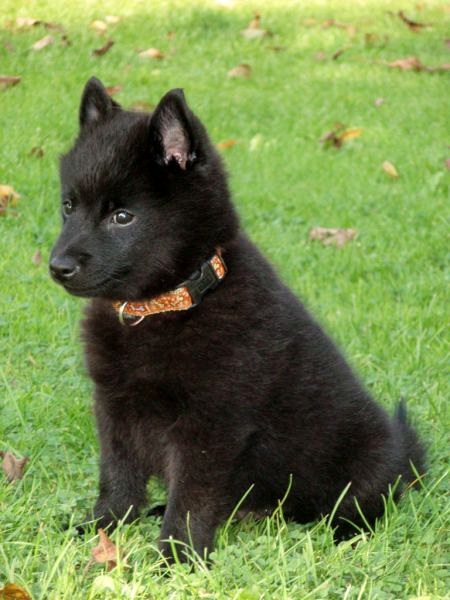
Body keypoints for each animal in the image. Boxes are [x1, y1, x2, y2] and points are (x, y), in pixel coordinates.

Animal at [49, 77, 425, 562]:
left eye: (122, 217)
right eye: (68, 206)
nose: (58, 266)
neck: (166, 306)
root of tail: (405, 454)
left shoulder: (211, 424)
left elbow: (192, 500)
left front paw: (176, 559)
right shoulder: (114, 406)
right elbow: (117, 477)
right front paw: (101, 526)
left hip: (364, 459)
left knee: (366, 502)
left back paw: (345, 533)